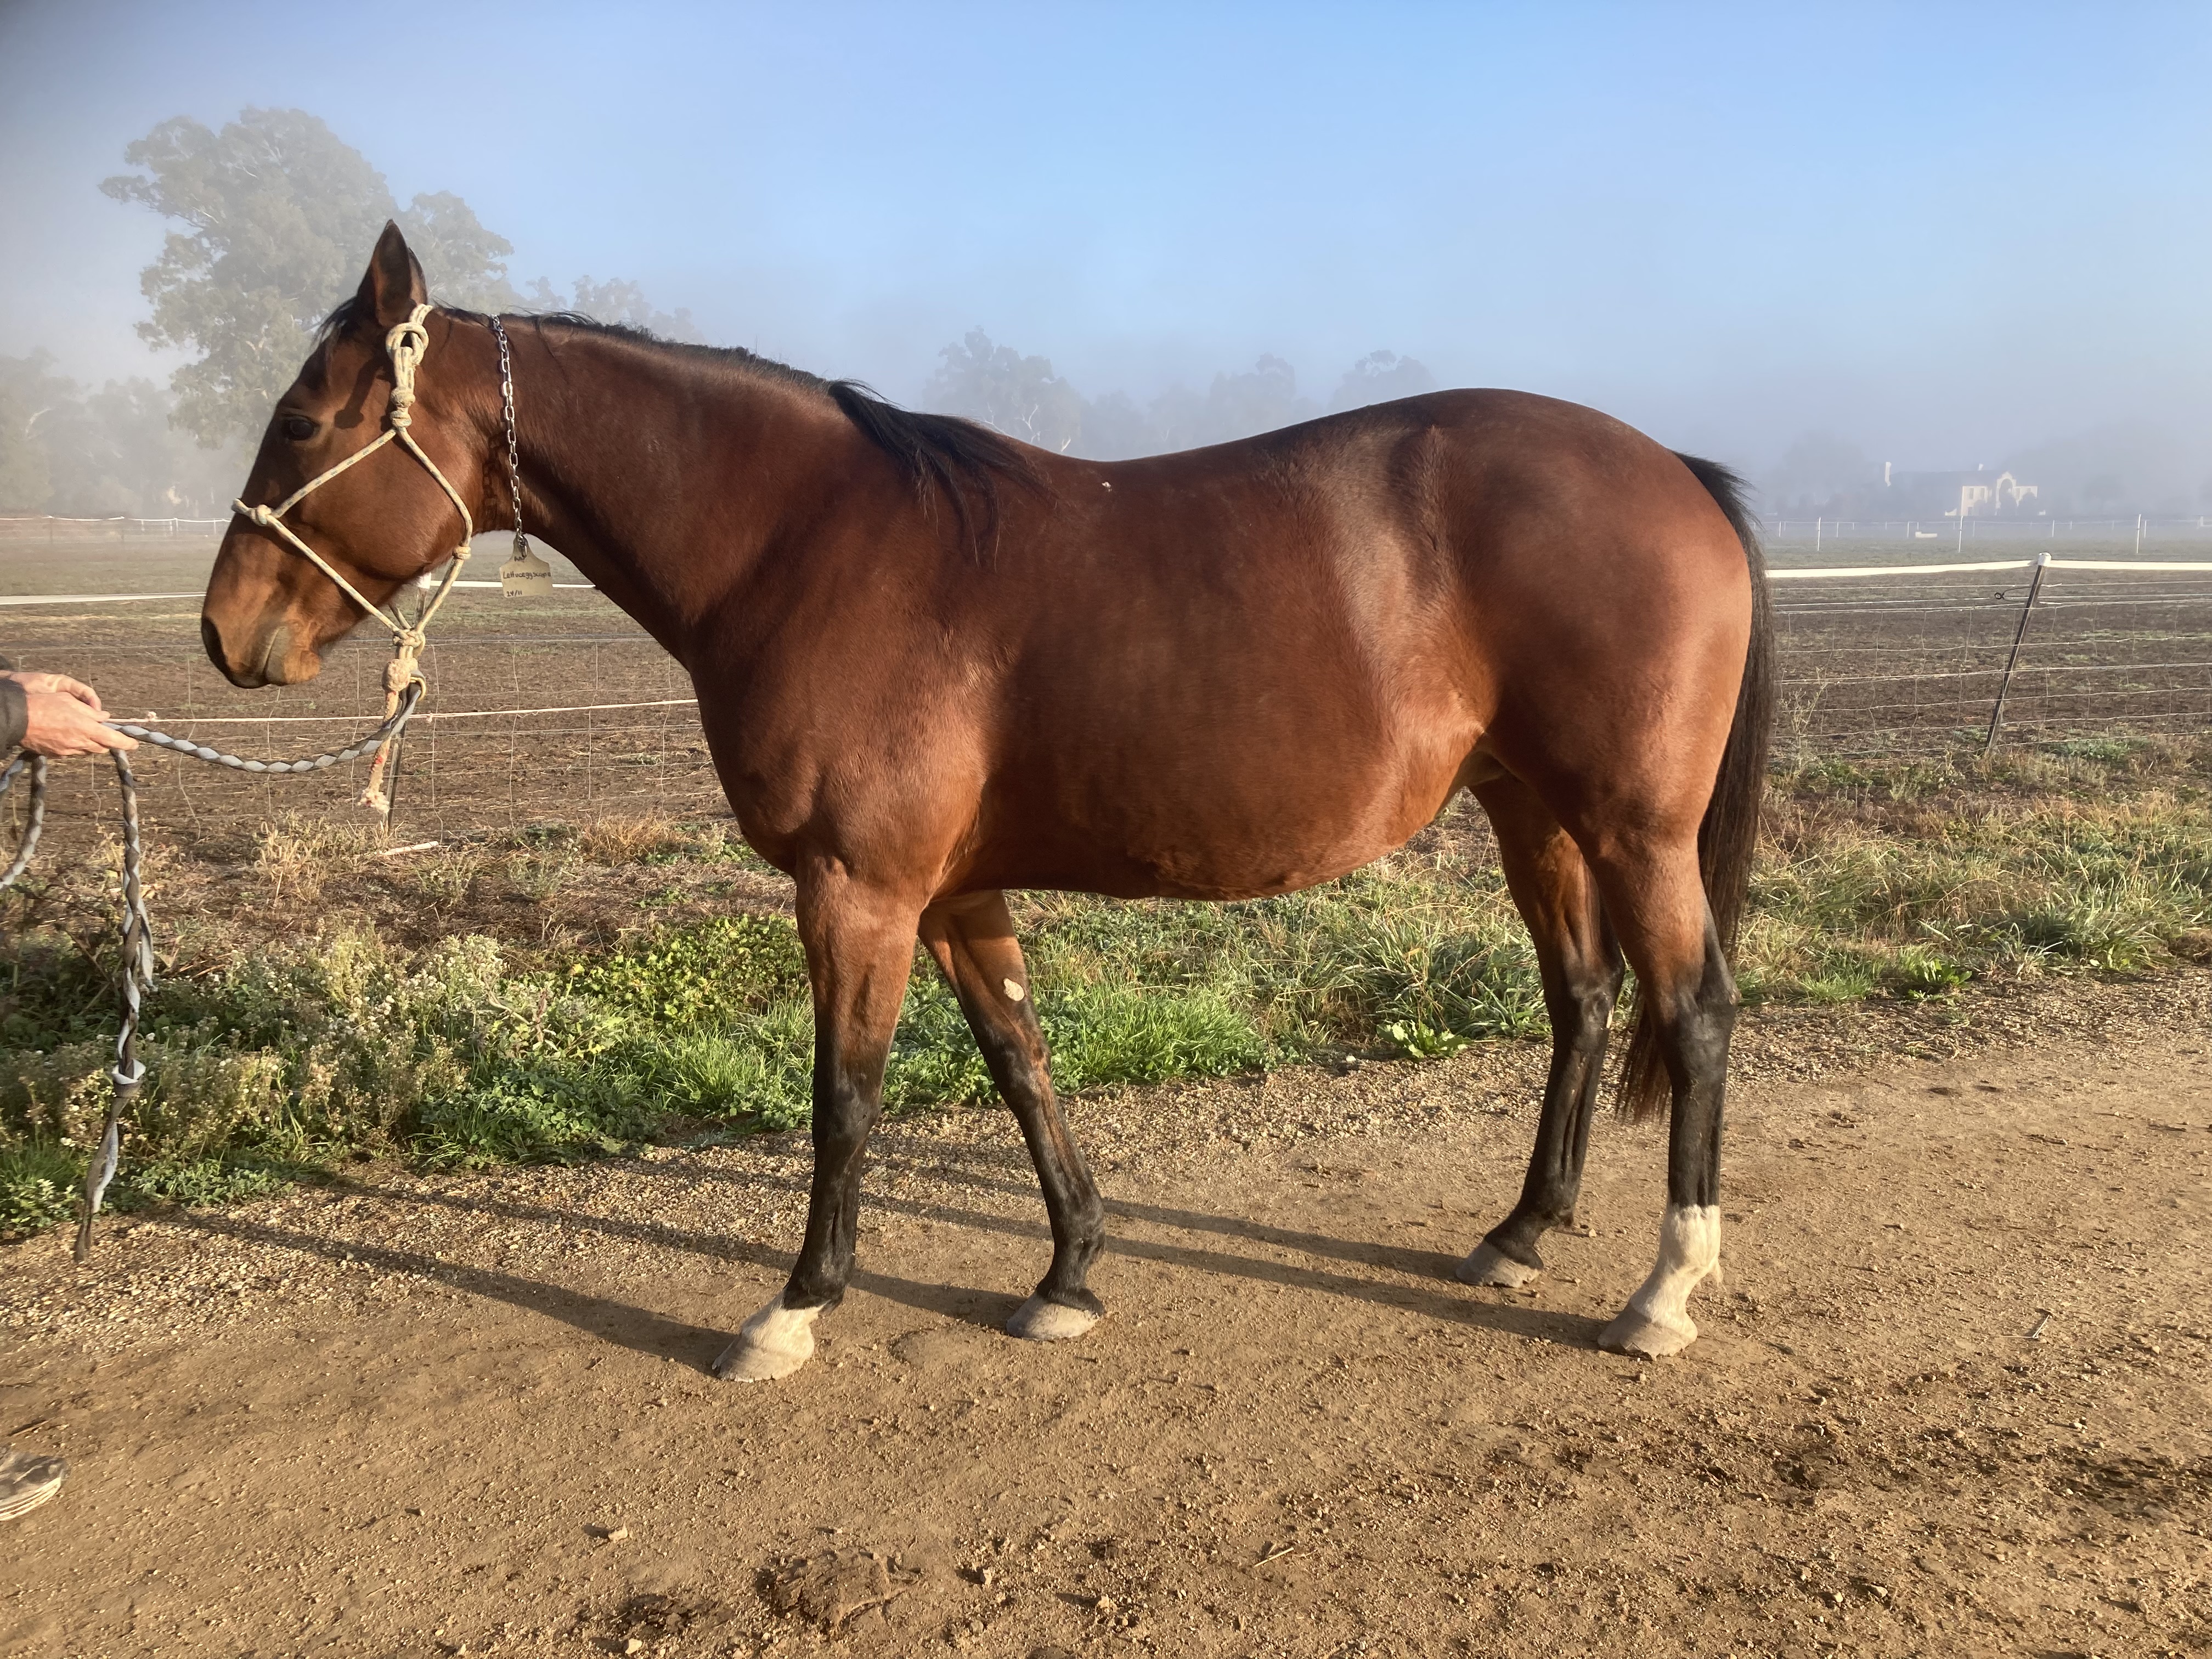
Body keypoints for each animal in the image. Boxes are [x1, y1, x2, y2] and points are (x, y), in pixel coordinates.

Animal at [200, 224, 1773, 1381]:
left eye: (302, 419)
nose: (226, 637)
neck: (811, 545)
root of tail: (1676, 473)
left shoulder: (858, 889)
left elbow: (845, 1096)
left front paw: (794, 1308)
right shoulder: (953, 890)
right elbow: (1021, 1064)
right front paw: (1070, 1272)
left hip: (1632, 828)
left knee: (1693, 1011)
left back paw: (1664, 1290)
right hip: (1531, 811)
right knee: (1584, 1001)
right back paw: (1521, 1231)